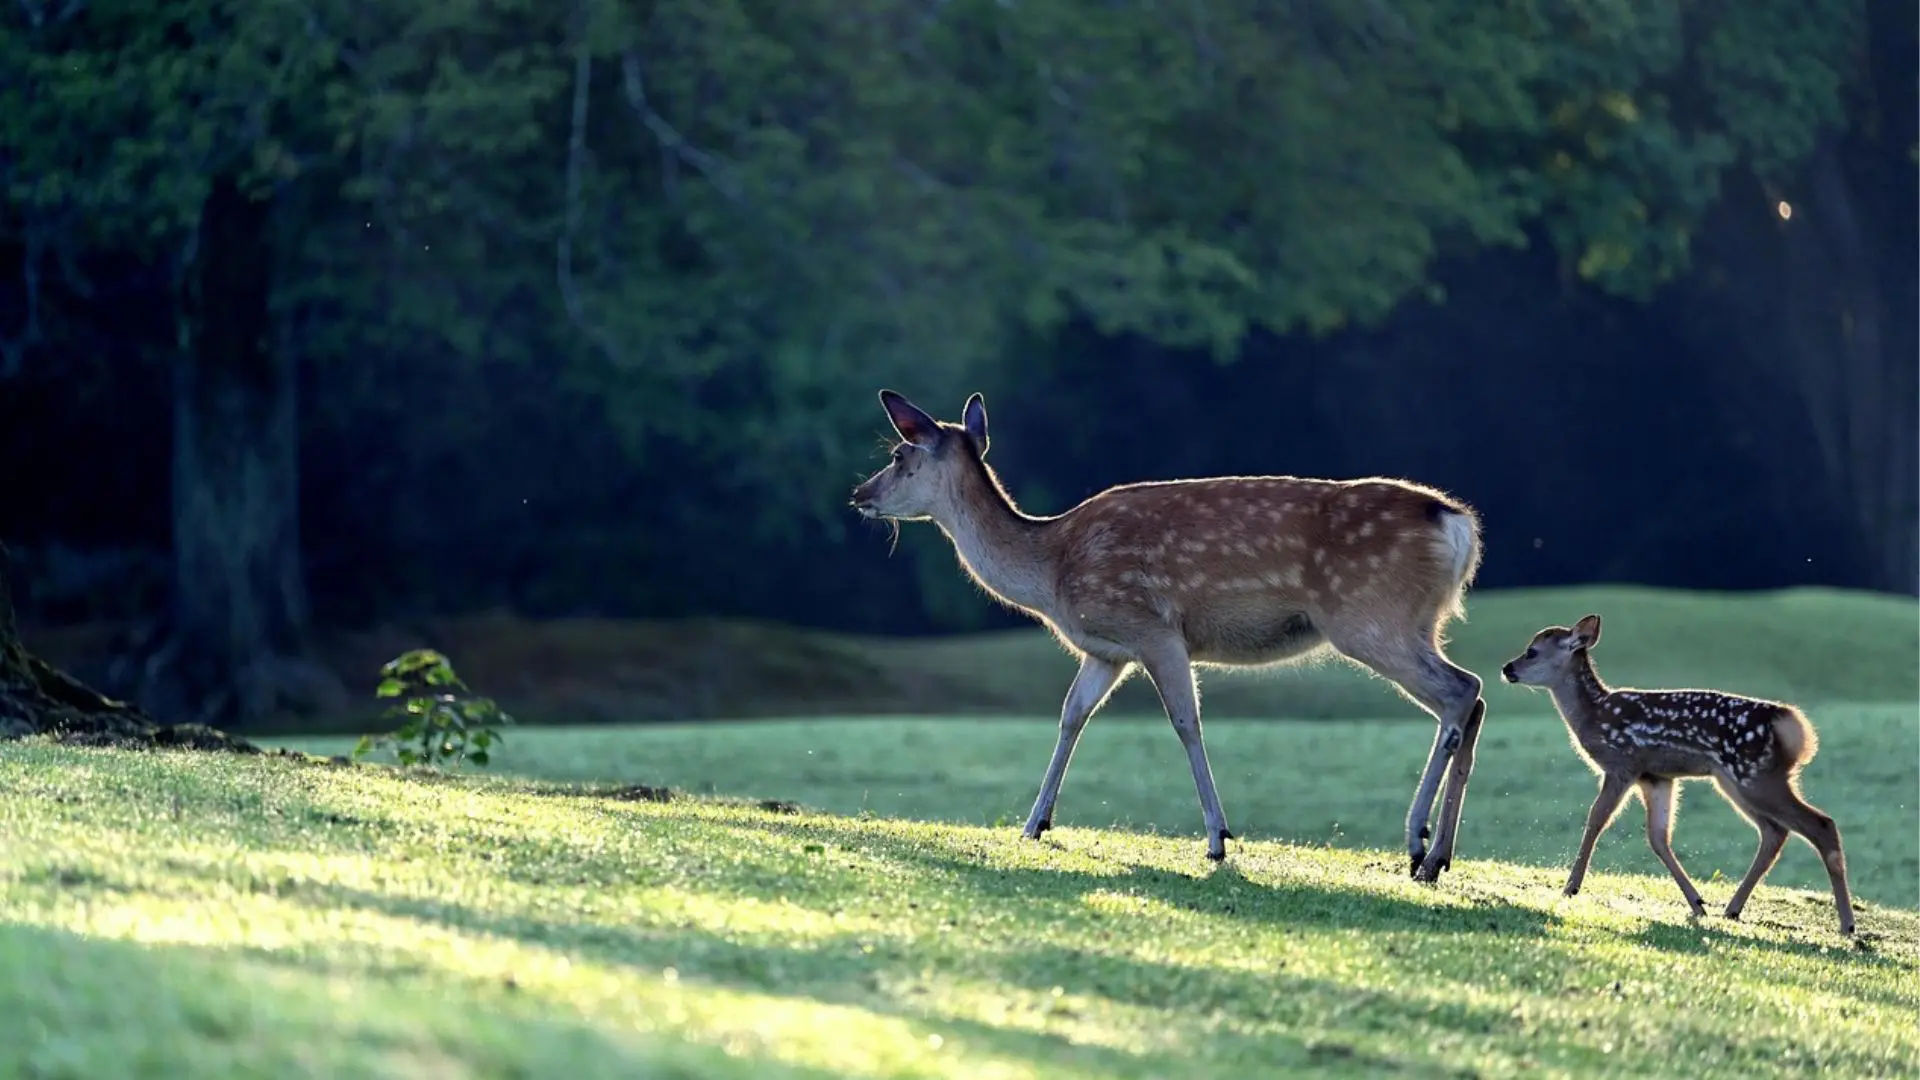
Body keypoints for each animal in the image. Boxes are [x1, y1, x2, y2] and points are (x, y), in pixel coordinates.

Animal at [849, 389, 1489, 880]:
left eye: (900, 455)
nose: (859, 495)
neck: (1052, 569)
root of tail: (1457, 526)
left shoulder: (1153, 628)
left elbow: (1185, 721)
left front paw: (1218, 838)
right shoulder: (1106, 651)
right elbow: (1071, 716)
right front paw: (1034, 824)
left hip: (1369, 617)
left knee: (1460, 691)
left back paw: (1416, 842)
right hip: (1414, 622)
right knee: (1473, 696)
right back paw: (1439, 857)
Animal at [1501, 614, 1855, 935]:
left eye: (1532, 651)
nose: (1507, 668)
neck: (1593, 716)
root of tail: (1793, 725)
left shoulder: (1622, 764)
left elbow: (1596, 818)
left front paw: (1570, 887)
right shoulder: (1656, 777)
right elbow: (1658, 837)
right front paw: (1697, 904)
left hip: (1756, 775)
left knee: (1820, 824)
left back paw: (1847, 925)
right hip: (1735, 780)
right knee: (1774, 832)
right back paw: (1732, 908)